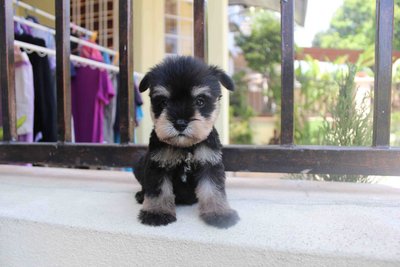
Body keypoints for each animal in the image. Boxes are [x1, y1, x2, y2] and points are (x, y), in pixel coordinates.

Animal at [134, 55, 241, 229]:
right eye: (163, 102)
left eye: (200, 101)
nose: (180, 123)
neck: (185, 148)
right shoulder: (158, 165)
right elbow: (158, 190)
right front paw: (156, 212)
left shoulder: (209, 163)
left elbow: (213, 190)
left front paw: (219, 213)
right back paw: (141, 195)